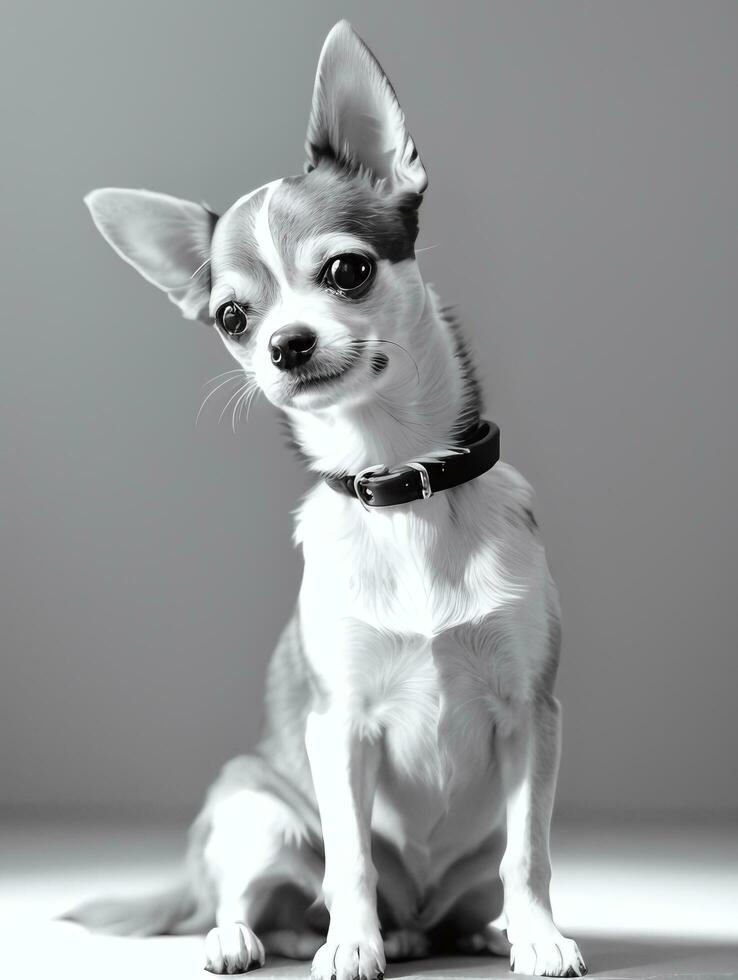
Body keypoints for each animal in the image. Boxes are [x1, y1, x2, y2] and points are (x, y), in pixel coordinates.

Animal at [72, 19, 584, 976]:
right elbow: (349, 856)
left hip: (457, 851)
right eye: (232, 318)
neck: (401, 481)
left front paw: (539, 935)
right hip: (257, 806)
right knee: (257, 898)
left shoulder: (530, 717)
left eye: (347, 271)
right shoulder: (338, 729)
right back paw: (248, 937)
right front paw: (352, 944)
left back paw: (473, 930)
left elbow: (528, 852)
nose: (285, 344)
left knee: (470, 887)